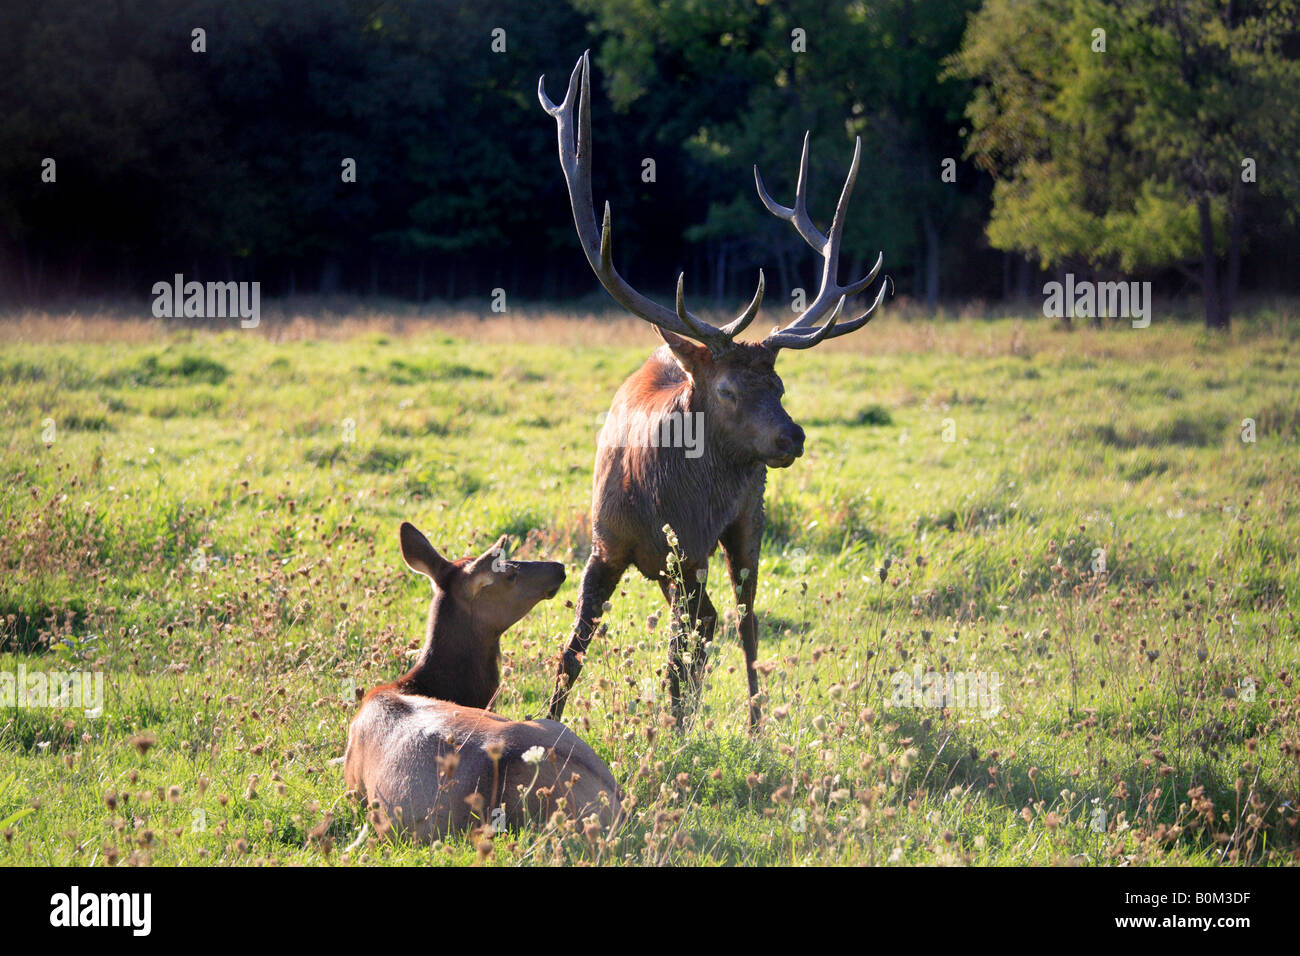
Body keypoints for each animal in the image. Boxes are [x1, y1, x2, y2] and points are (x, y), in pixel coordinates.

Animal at [539, 52, 890, 730]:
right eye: (726, 389)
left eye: (780, 383)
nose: (792, 436)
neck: (651, 501)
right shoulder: (604, 543)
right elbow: (574, 647)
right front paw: (546, 723)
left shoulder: (694, 547)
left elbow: (694, 639)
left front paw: (676, 727)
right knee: (706, 624)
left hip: (746, 519)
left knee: (741, 620)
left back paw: (750, 722)